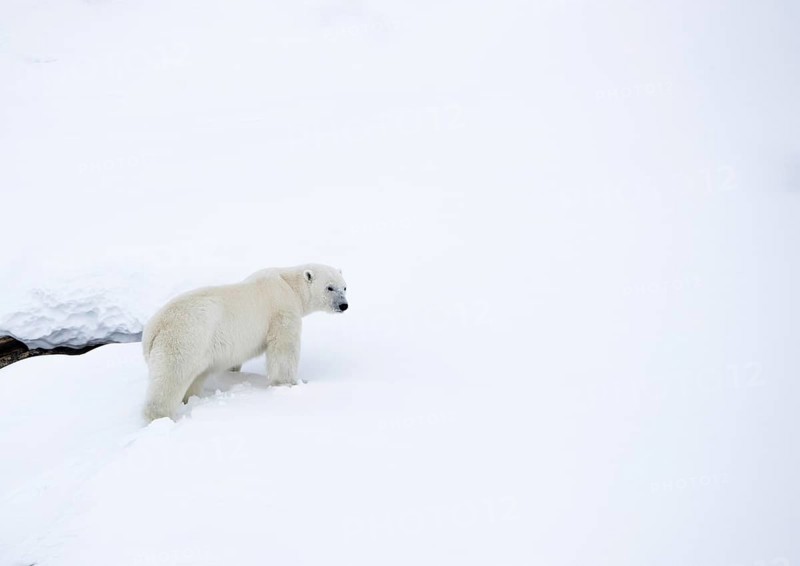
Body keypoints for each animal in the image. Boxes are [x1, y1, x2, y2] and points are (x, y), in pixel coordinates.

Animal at [141, 263, 348, 421]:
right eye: (330, 287)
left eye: (345, 287)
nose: (344, 305)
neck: (289, 284)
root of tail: (152, 330)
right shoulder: (282, 309)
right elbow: (284, 348)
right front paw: (290, 383)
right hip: (184, 339)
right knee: (170, 379)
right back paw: (160, 416)